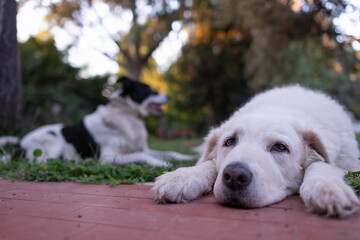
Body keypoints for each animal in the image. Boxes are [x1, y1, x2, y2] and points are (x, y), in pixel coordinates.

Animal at [2, 77, 194, 167]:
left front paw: (188, 157)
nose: (169, 96)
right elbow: (143, 156)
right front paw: (162, 164)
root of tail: (19, 145)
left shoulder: (142, 147)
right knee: (42, 162)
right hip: (51, 141)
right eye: (149, 90)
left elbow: (168, 151)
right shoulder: (107, 156)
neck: (126, 115)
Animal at [153, 86, 360, 218]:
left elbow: (321, 164)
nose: (234, 176)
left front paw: (327, 187)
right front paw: (182, 176)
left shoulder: (349, 164)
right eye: (230, 141)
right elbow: (209, 163)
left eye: (280, 147)